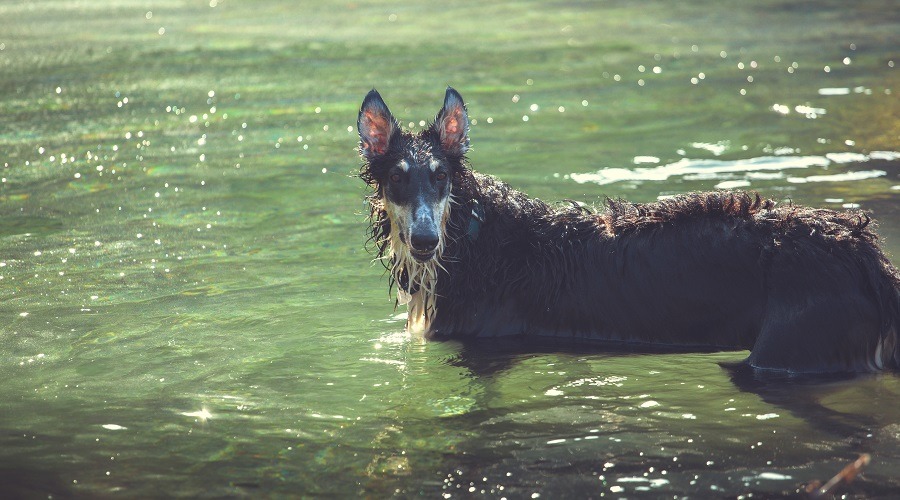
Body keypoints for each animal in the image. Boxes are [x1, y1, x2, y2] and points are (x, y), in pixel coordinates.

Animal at [356, 87, 896, 376]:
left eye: (441, 177)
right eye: (397, 178)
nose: (425, 243)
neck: (472, 239)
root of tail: (864, 249)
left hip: (793, 346)